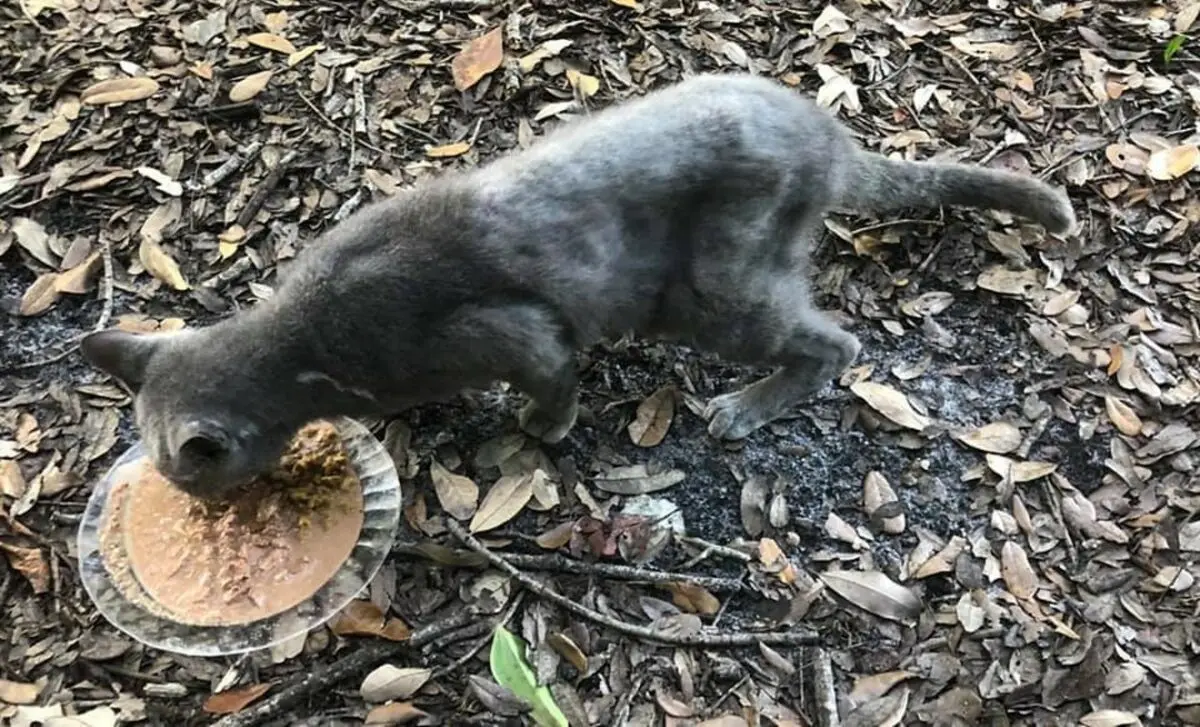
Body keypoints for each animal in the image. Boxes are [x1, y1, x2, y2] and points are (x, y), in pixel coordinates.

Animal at [79, 74, 1075, 501]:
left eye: (189, 472)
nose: (193, 505)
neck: (304, 338)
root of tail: (827, 131)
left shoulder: (520, 333)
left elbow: (552, 380)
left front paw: (536, 429)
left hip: (714, 290)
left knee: (835, 342)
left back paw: (747, 406)